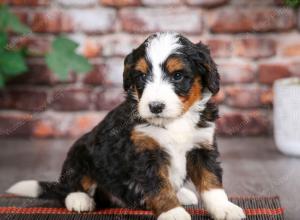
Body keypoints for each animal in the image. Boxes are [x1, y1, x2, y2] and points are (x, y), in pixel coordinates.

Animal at [7, 32, 246, 220]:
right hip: (80, 151)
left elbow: (211, 182)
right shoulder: (145, 152)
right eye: (141, 76)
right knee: (70, 186)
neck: (174, 122)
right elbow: (159, 186)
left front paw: (224, 208)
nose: (155, 106)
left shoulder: (202, 146)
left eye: (178, 76)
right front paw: (172, 212)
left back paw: (182, 194)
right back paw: (79, 199)